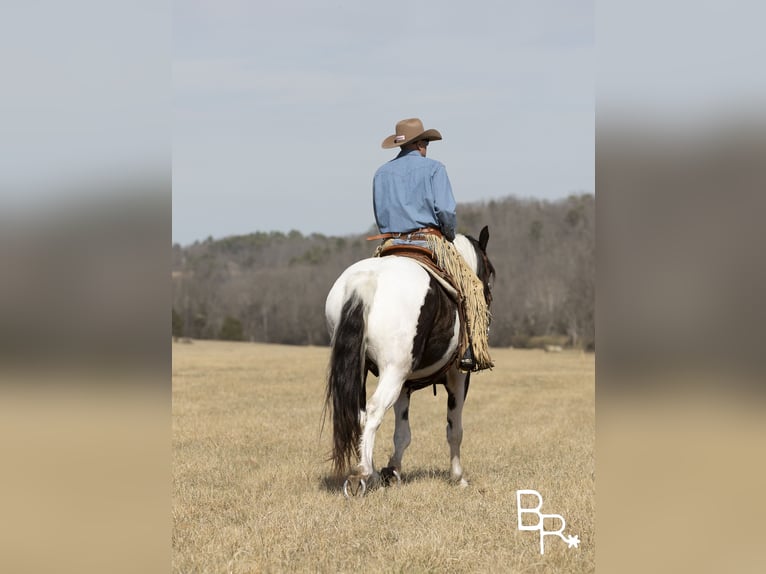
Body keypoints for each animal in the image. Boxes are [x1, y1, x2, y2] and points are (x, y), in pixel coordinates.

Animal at [322, 227, 492, 498]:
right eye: (490, 271)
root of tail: (365, 281)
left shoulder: (405, 385)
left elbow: (402, 433)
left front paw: (393, 471)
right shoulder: (458, 377)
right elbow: (454, 429)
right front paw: (458, 477)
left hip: (365, 371)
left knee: (360, 415)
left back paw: (370, 472)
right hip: (393, 372)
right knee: (374, 410)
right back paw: (364, 473)